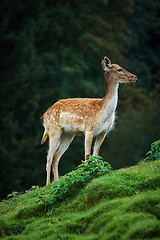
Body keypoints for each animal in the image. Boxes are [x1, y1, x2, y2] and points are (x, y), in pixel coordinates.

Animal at [40, 56, 137, 184]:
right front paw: (86, 175)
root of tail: (43, 116)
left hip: (68, 134)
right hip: (53, 130)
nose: (135, 76)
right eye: (119, 69)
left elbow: (96, 155)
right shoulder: (89, 130)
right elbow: (87, 155)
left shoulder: (103, 133)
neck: (102, 111)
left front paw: (95, 173)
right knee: (49, 157)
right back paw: (48, 184)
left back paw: (57, 181)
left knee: (56, 156)